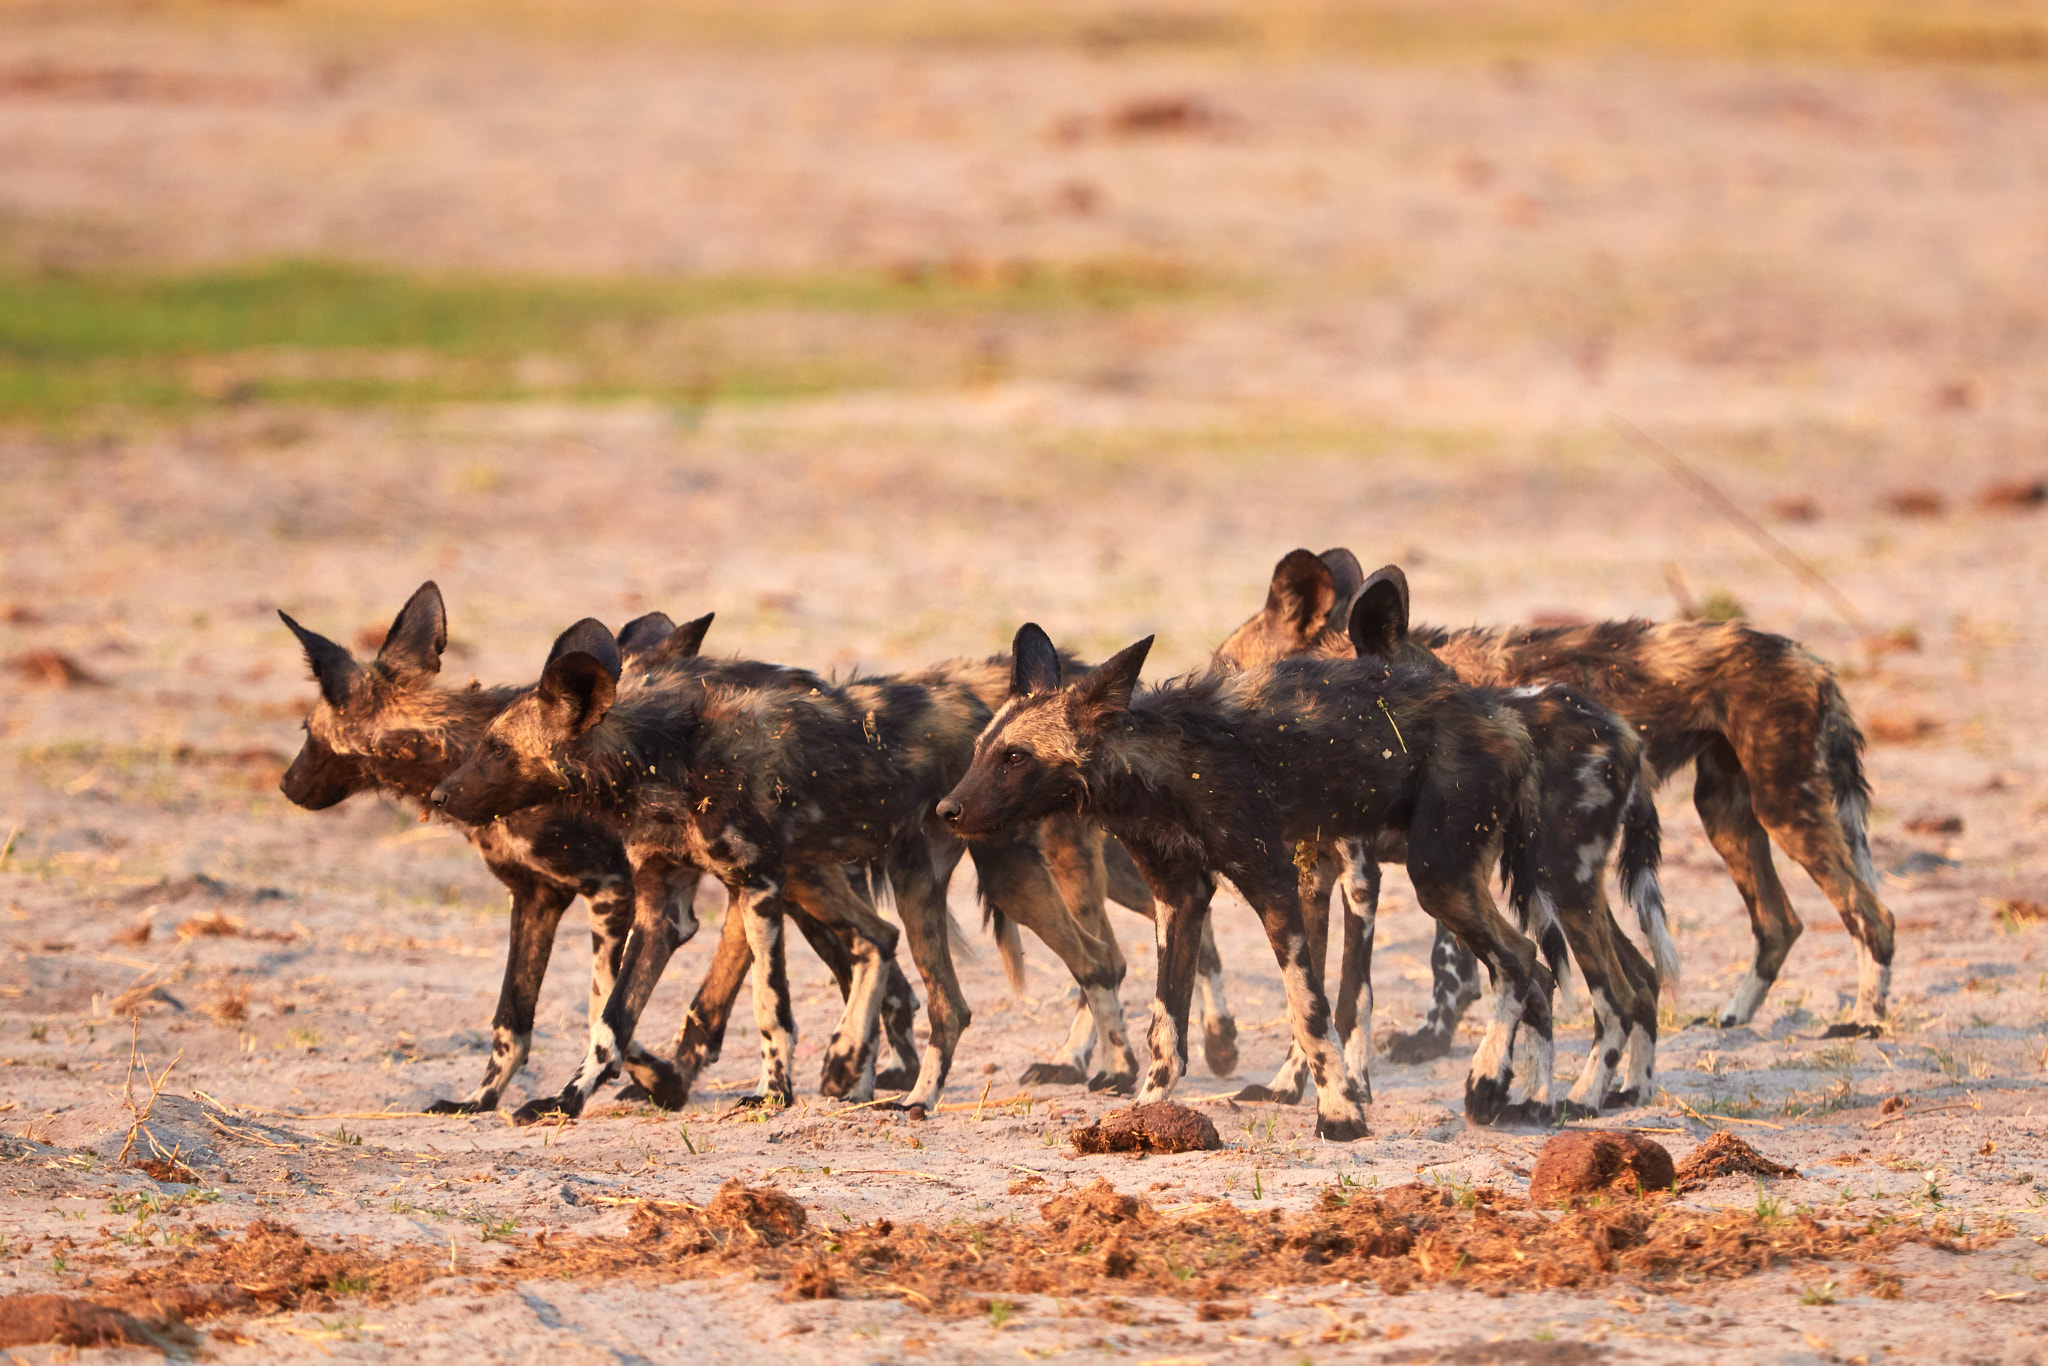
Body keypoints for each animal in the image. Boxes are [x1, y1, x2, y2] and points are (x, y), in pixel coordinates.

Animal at [276, 581, 917, 1114]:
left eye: (305, 734)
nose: (285, 784)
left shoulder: (611, 895)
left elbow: (601, 1010)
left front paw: (646, 1078)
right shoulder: (536, 899)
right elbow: (514, 1018)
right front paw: (480, 1101)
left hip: (788, 888)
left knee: (864, 969)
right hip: (793, 887)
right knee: (877, 971)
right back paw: (866, 1079)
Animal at [434, 626, 1146, 1114]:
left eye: (495, 748)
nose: (441, 796)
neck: (665, 755)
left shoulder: (756, 887)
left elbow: (767, 1006)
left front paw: (773, 1093)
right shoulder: (663, 907)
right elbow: (611, 1020)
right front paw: (566, 1099)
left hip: (978, 876)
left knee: (1082, 966)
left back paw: (1109, 1076)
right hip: (852, 879)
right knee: (899, 947)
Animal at [937, 626, 1556, 1138]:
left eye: (1015, 757)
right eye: (979, 752)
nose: (946, 810)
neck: (1164, 771)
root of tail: (1505, 717)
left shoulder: (1272, 886)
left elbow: (1309, 1013)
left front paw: (1340, 1116)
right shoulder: (1179, 898)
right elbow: (1166, 1030)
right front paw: (1145, 1115)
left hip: (1436, 875)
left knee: (1519, 960)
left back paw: (1486, 1081)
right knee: (1540, 972)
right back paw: (1533, 1101)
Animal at [1212, 544, 1884, 1036]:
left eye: (1227, 670)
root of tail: (1811, 658)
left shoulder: (1411, 866)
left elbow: (1433, 973)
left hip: (1781, 809)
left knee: (1870, 915)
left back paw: (1865, 1021)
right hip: (1724, 816)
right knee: (1777, 923)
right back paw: (1732, 1018)